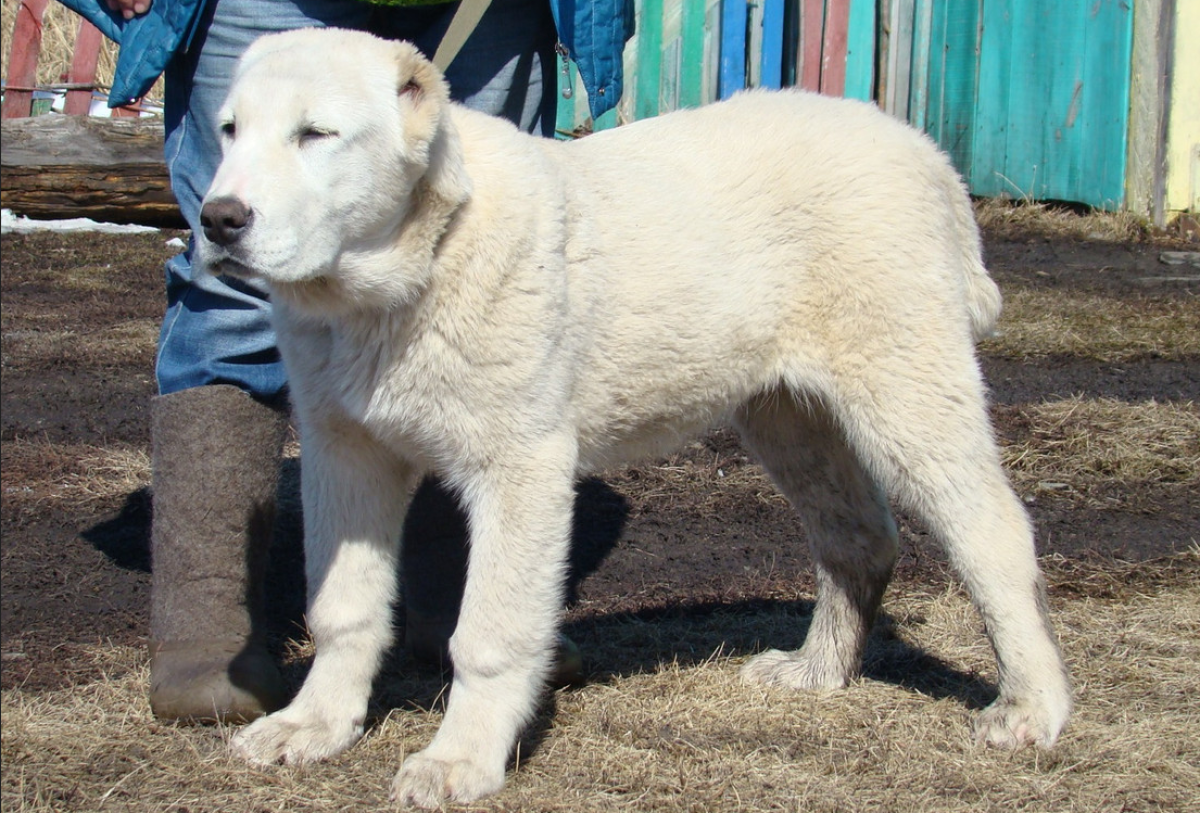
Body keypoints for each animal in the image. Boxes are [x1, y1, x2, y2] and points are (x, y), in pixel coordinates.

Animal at [201, 30, 1075, 810]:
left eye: (316, 134)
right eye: (229, 130)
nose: (217, 219)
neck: (398, 276)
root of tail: (926, 151)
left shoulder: (521, 464)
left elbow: (488, 631)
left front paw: (460, 758)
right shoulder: (343, 449)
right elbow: (341, 604)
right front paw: (314, 723)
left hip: (906, 381)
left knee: (993, 533)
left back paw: (1031, 705)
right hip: (787, 411)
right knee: (858, 534)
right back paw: (818, 670)